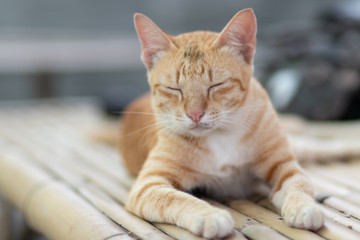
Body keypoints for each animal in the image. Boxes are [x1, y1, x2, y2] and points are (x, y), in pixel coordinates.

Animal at [119, 8, 324, 238]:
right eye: (174, 89)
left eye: (216, 85)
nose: (195, 114)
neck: (220, 135)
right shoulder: (148, 185)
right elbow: (176, 198)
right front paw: (209, 215)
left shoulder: (284, 165)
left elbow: (299, 185)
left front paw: (304, 207)